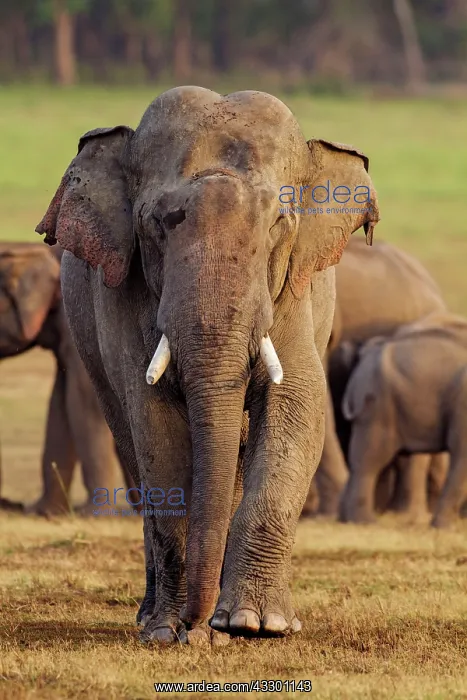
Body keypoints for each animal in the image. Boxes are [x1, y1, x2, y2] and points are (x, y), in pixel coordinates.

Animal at [36, 86, 379, 642]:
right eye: (157, 224)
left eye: (279, 223)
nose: (194, 623)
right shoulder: (125, 293)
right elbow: (157, 426)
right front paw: (168, 632)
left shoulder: (295, 292)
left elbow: (296, 407)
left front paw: (257, 625)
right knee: (132, 443)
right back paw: (157, 617)